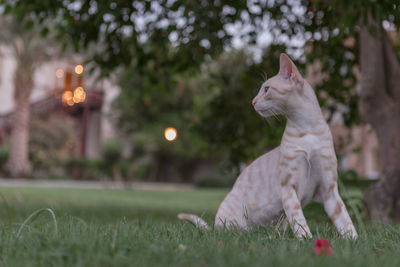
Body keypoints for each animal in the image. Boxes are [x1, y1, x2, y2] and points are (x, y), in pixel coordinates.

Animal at [179, 53, 360, 240]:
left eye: (266, 89)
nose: (252, 102)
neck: (307, 130)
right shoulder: (289, 188)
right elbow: (299, 221)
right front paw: (307, 240)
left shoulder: (329, 190)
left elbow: (345, 221)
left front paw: (354, 240)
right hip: (234, 221)